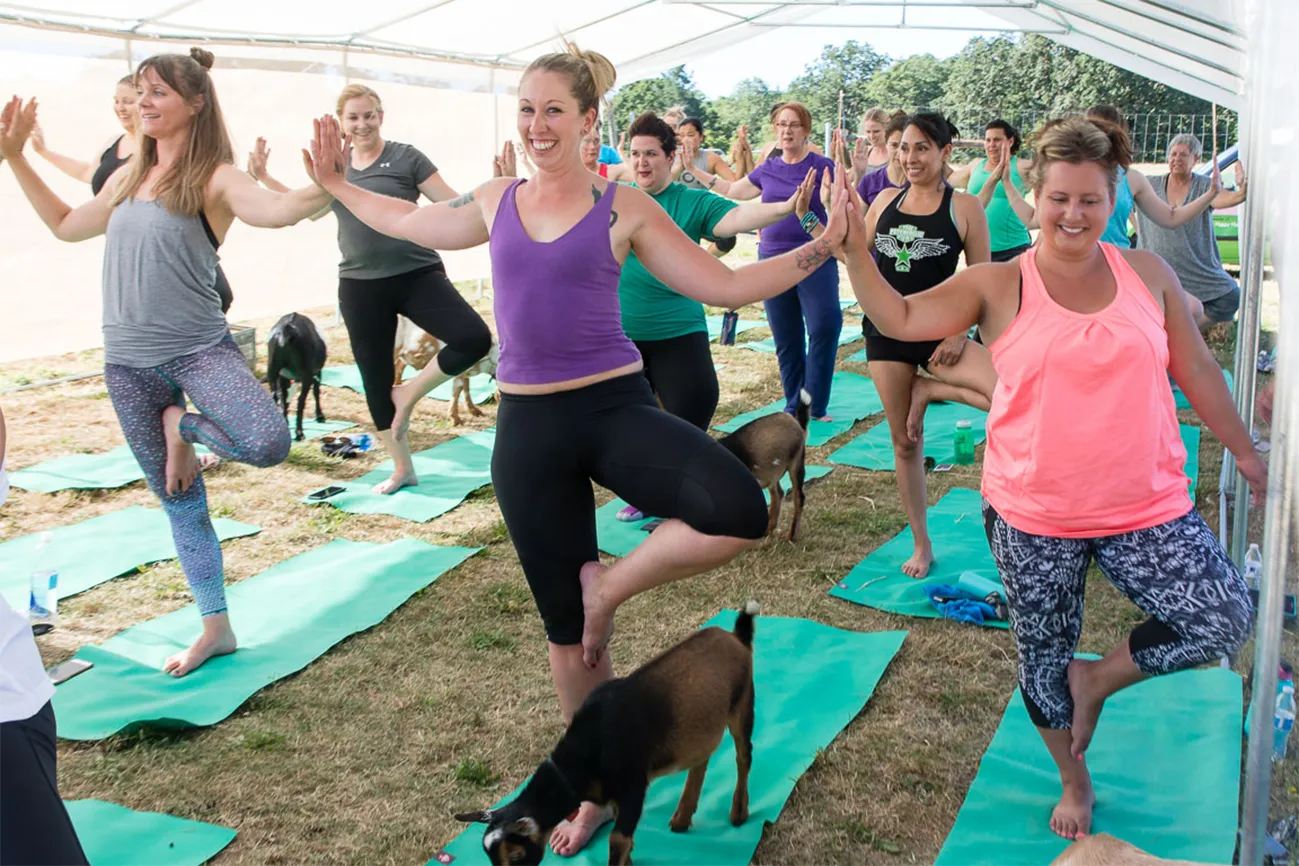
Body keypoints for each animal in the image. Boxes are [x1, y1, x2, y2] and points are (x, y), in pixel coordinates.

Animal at [457, 602, 758, 866]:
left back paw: (738, 812)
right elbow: (625, 842)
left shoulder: (634, 785)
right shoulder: (614, 793)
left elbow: (617, 841)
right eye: (490, 858)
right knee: (702, 757)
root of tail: (736, 636)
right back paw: (683, 816)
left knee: (744, 755)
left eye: (517, 855)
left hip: (742, 703)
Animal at [717, 389, 805, 537]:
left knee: (799, 498)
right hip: (772, 473)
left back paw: (791, 536)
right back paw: (769, 529)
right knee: (778, 494)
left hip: (796, 464)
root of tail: (792, 420)